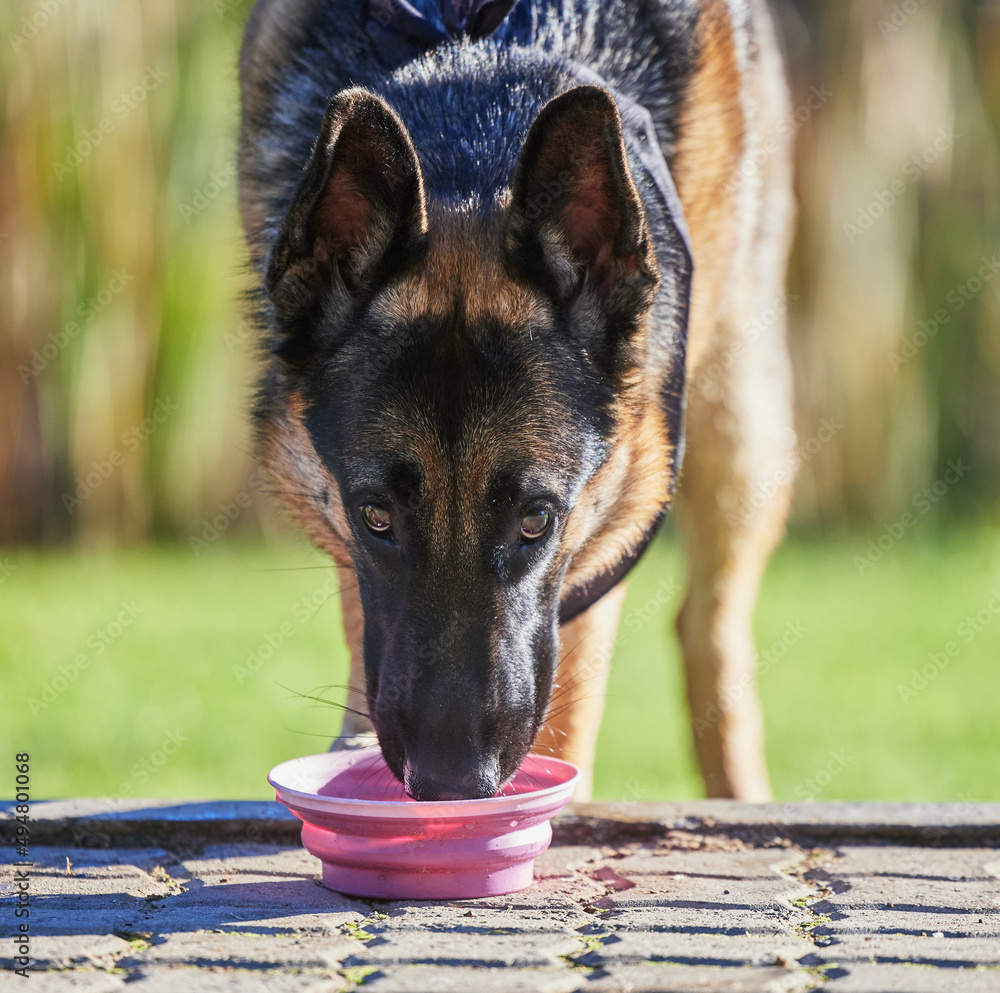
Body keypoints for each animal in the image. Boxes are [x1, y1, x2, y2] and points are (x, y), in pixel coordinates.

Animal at [238, 0, 792, 800]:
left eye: (537, 521)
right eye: (376, 517)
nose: (451, 783)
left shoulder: (605, 524)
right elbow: (364, 624)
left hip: (741, 434)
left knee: (708, 625)